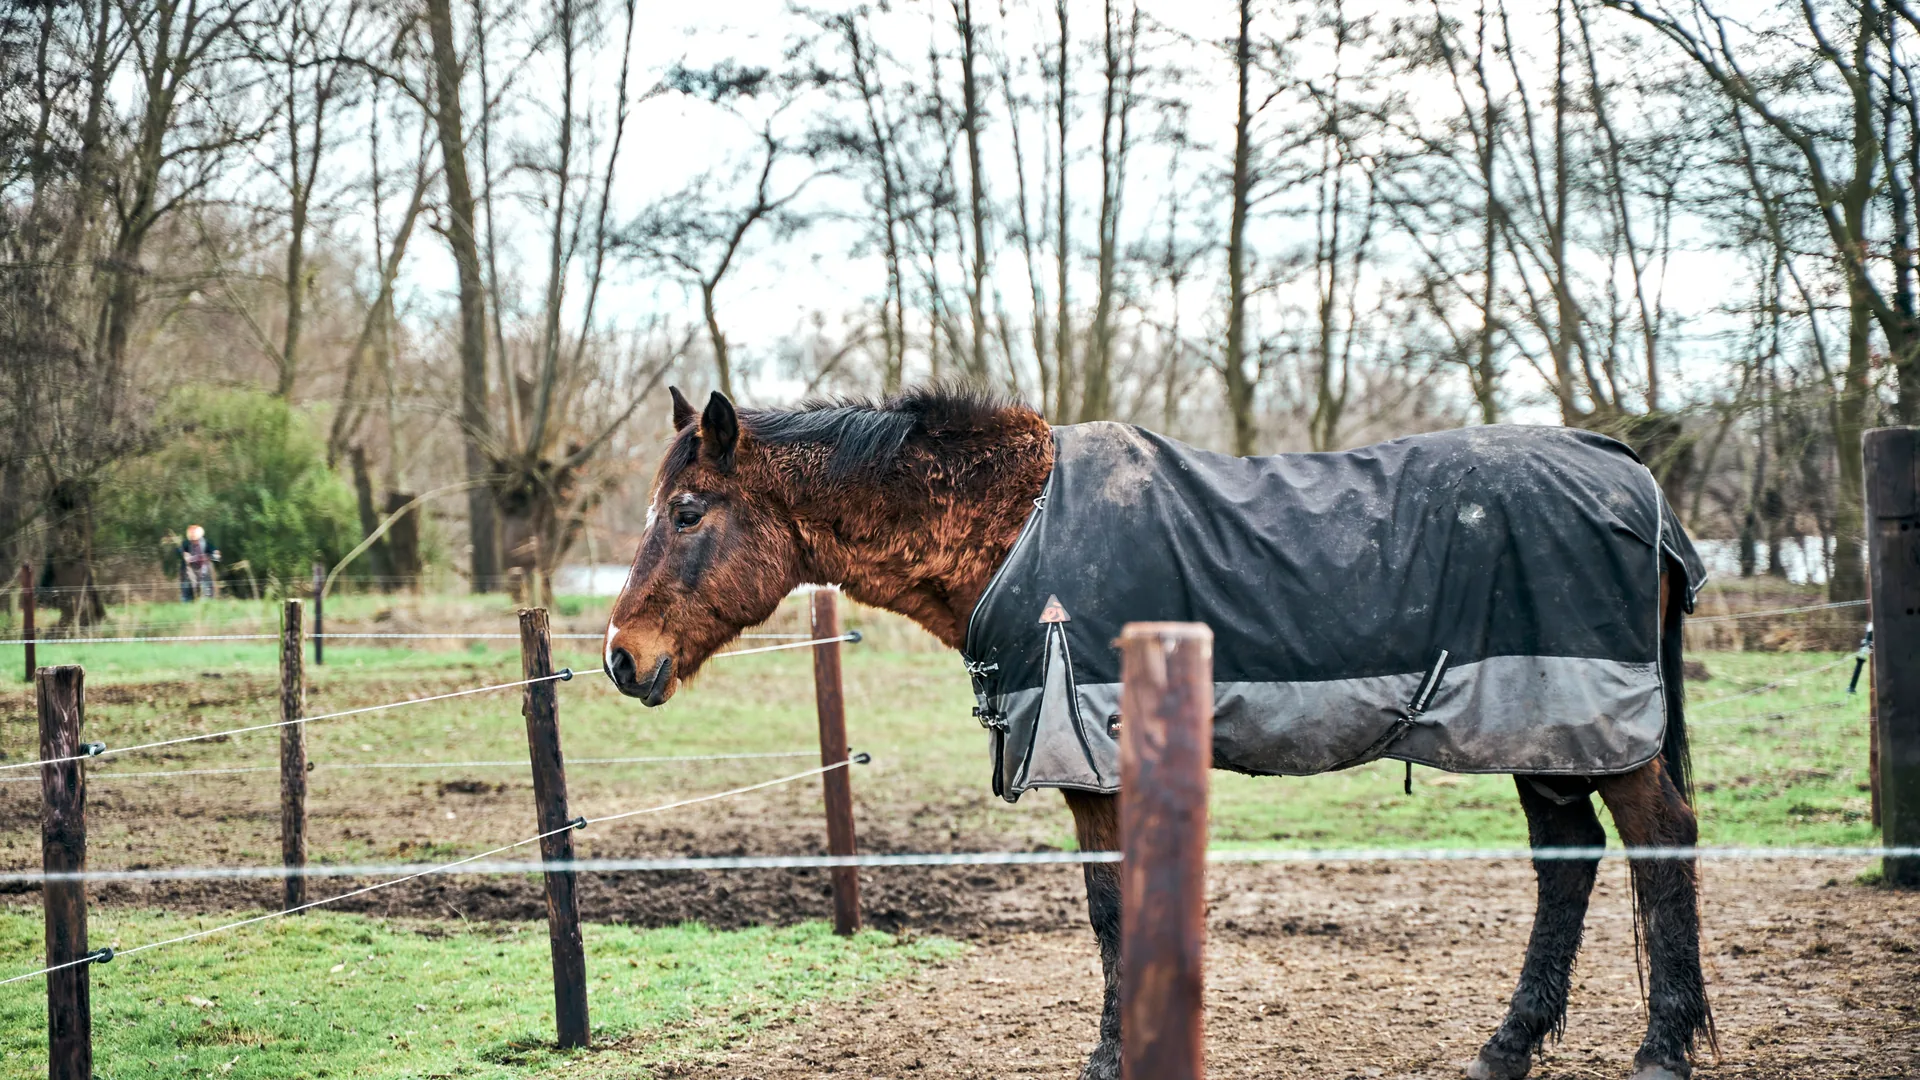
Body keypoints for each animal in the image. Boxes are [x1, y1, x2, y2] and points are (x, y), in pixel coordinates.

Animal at [602, 386, 1709, 1080]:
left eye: (688, 511)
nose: (621, 656)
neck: (1019, 529)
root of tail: (1635, 481)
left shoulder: (1090, 758)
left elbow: (1108, 911)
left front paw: (1111, 1054)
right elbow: (1112, 911)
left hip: (1589, 726)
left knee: (1662, 845)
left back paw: (1663, 1050)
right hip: (1544, 730)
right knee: (1568, 861)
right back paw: (1508, 1046)